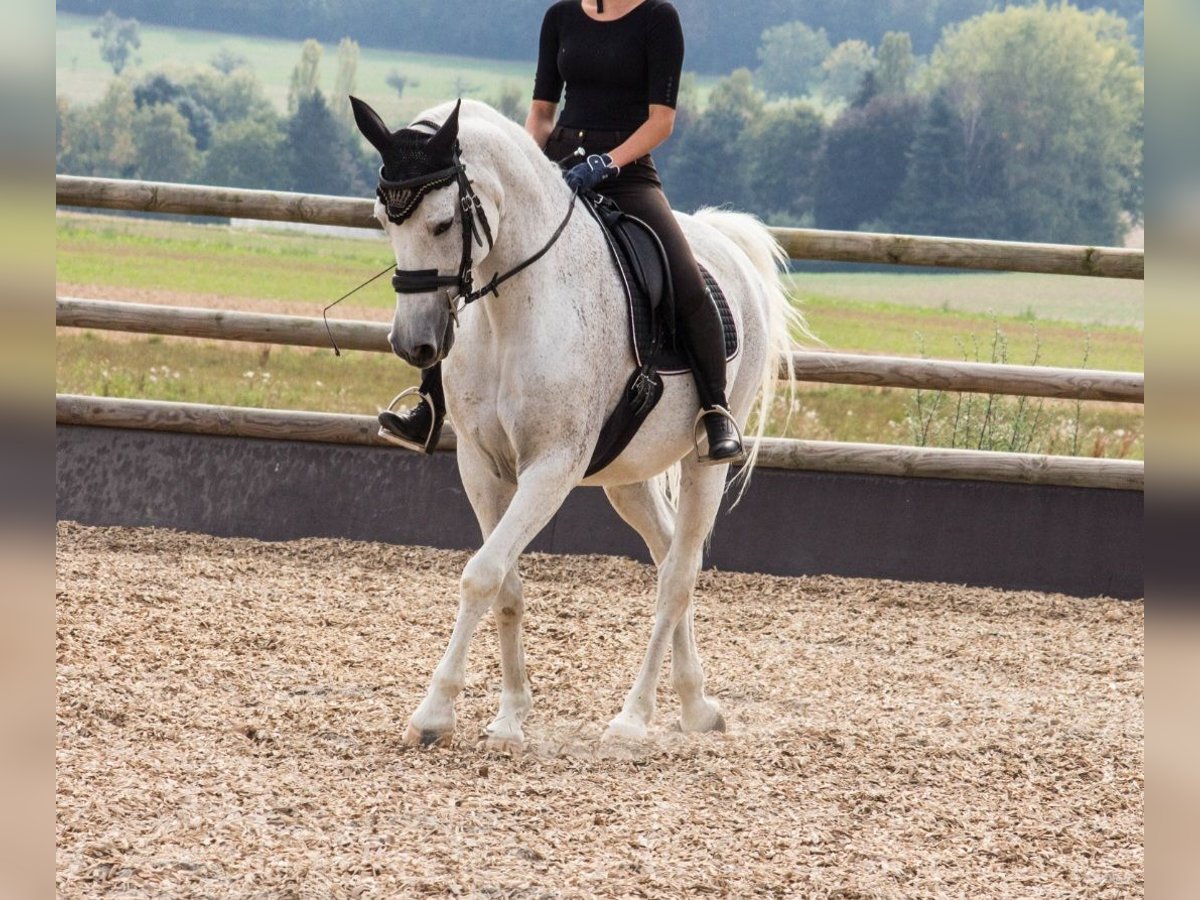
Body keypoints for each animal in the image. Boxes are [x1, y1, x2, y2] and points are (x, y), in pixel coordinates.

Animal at [352, 97, 806, 753]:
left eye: (440, 225)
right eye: (383, 222)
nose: (414, 344)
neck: (515, 307)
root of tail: (724, 239)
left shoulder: (553, 468)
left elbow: (481, 575)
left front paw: (434, 713)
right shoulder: (481, 466)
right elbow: (506, 584)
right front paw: (510, 715)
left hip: (706, 460)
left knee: (678, 576)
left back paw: (634, 717)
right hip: (627, 477)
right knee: (668, 556)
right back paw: (695, 704)